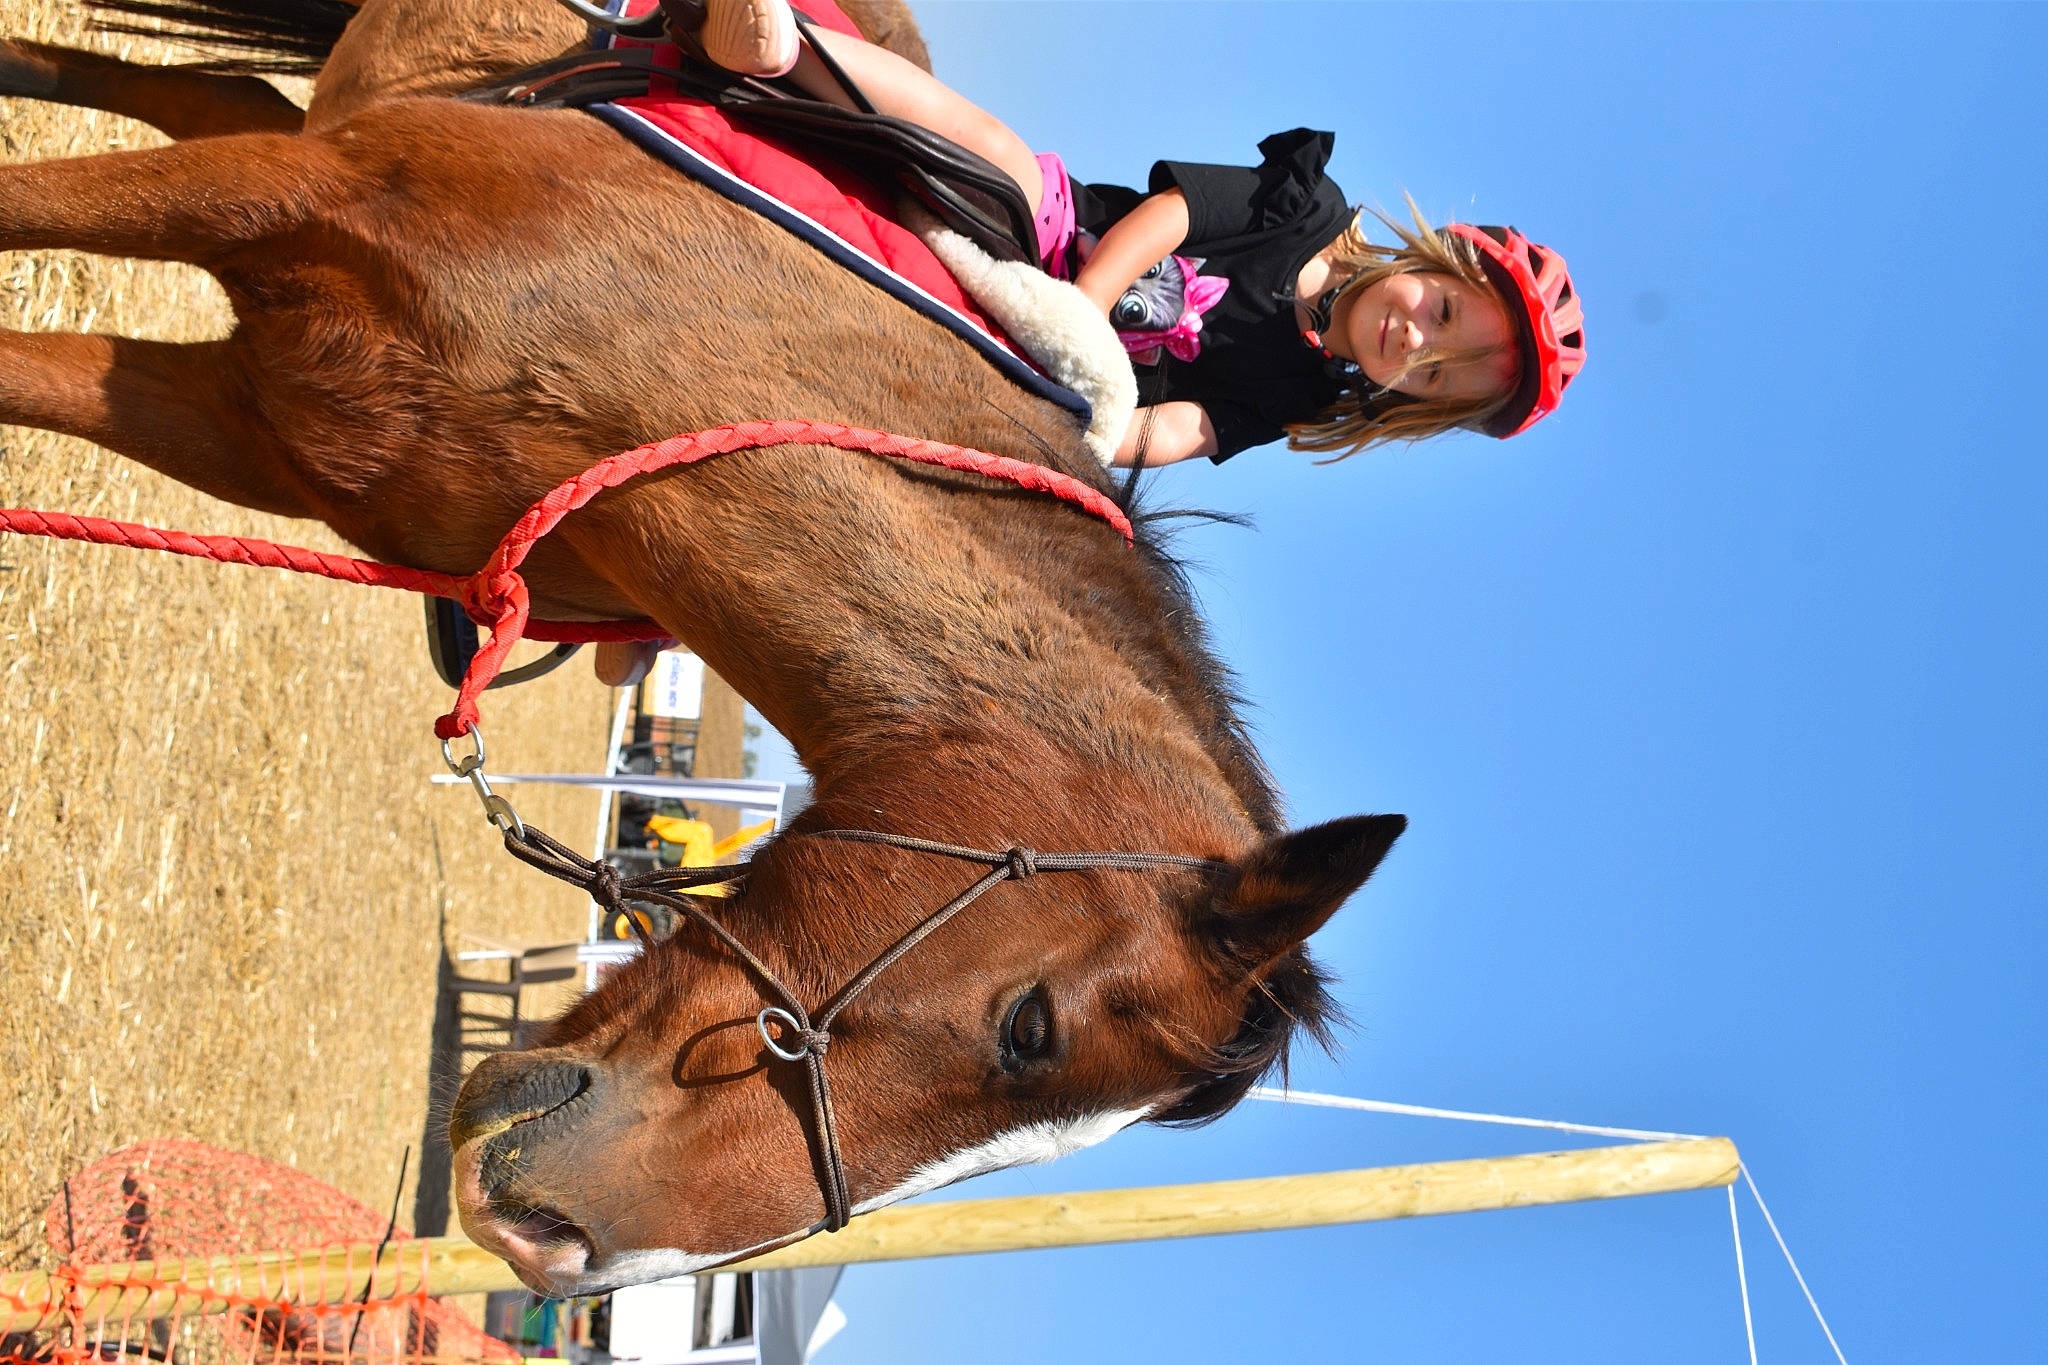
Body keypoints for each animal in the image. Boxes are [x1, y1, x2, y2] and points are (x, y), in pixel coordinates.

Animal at [0, 0, 1406, 1294]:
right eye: (1027, 1029)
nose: (552, 1242)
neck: (705, 359)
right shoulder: (278, 201)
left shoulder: (254, 428)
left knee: (215, 90)